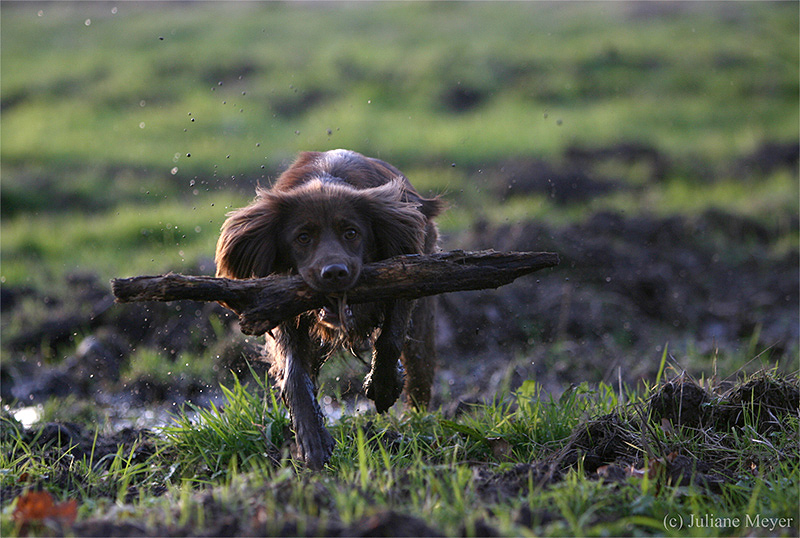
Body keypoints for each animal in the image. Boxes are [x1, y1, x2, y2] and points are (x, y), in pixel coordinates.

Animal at [214, 148, 444, 464]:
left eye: (351, 233)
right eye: (302, 237)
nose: (334, 273)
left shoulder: (404, 268)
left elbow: (390, 338)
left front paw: (384, 384)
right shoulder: (285, 314)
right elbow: (295, 375)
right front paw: (312, 439)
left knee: (420, 368)